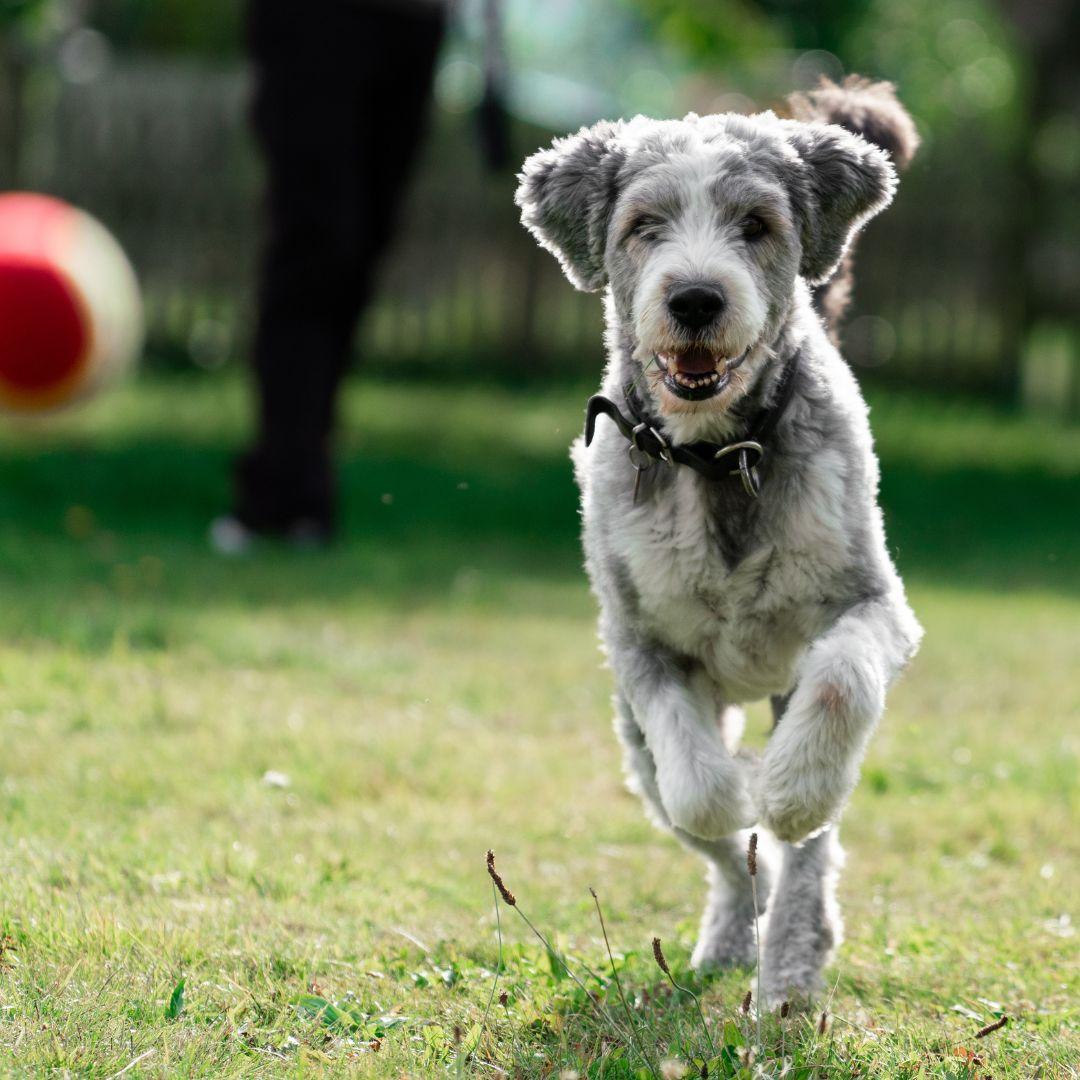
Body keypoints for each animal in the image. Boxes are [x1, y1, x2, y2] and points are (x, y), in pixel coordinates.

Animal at [518, 78, 924, 1002]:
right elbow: (699, 785)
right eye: (643, 224)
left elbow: (841, 687)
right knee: (721, 850)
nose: (696, 298)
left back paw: (790, 972)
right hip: (633, 750)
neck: (719, 457)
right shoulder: (637, 644)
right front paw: (737, 793)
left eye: (757, 224)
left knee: (809, 858)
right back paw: (740, 935)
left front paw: (791, 791)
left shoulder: (872, 606)